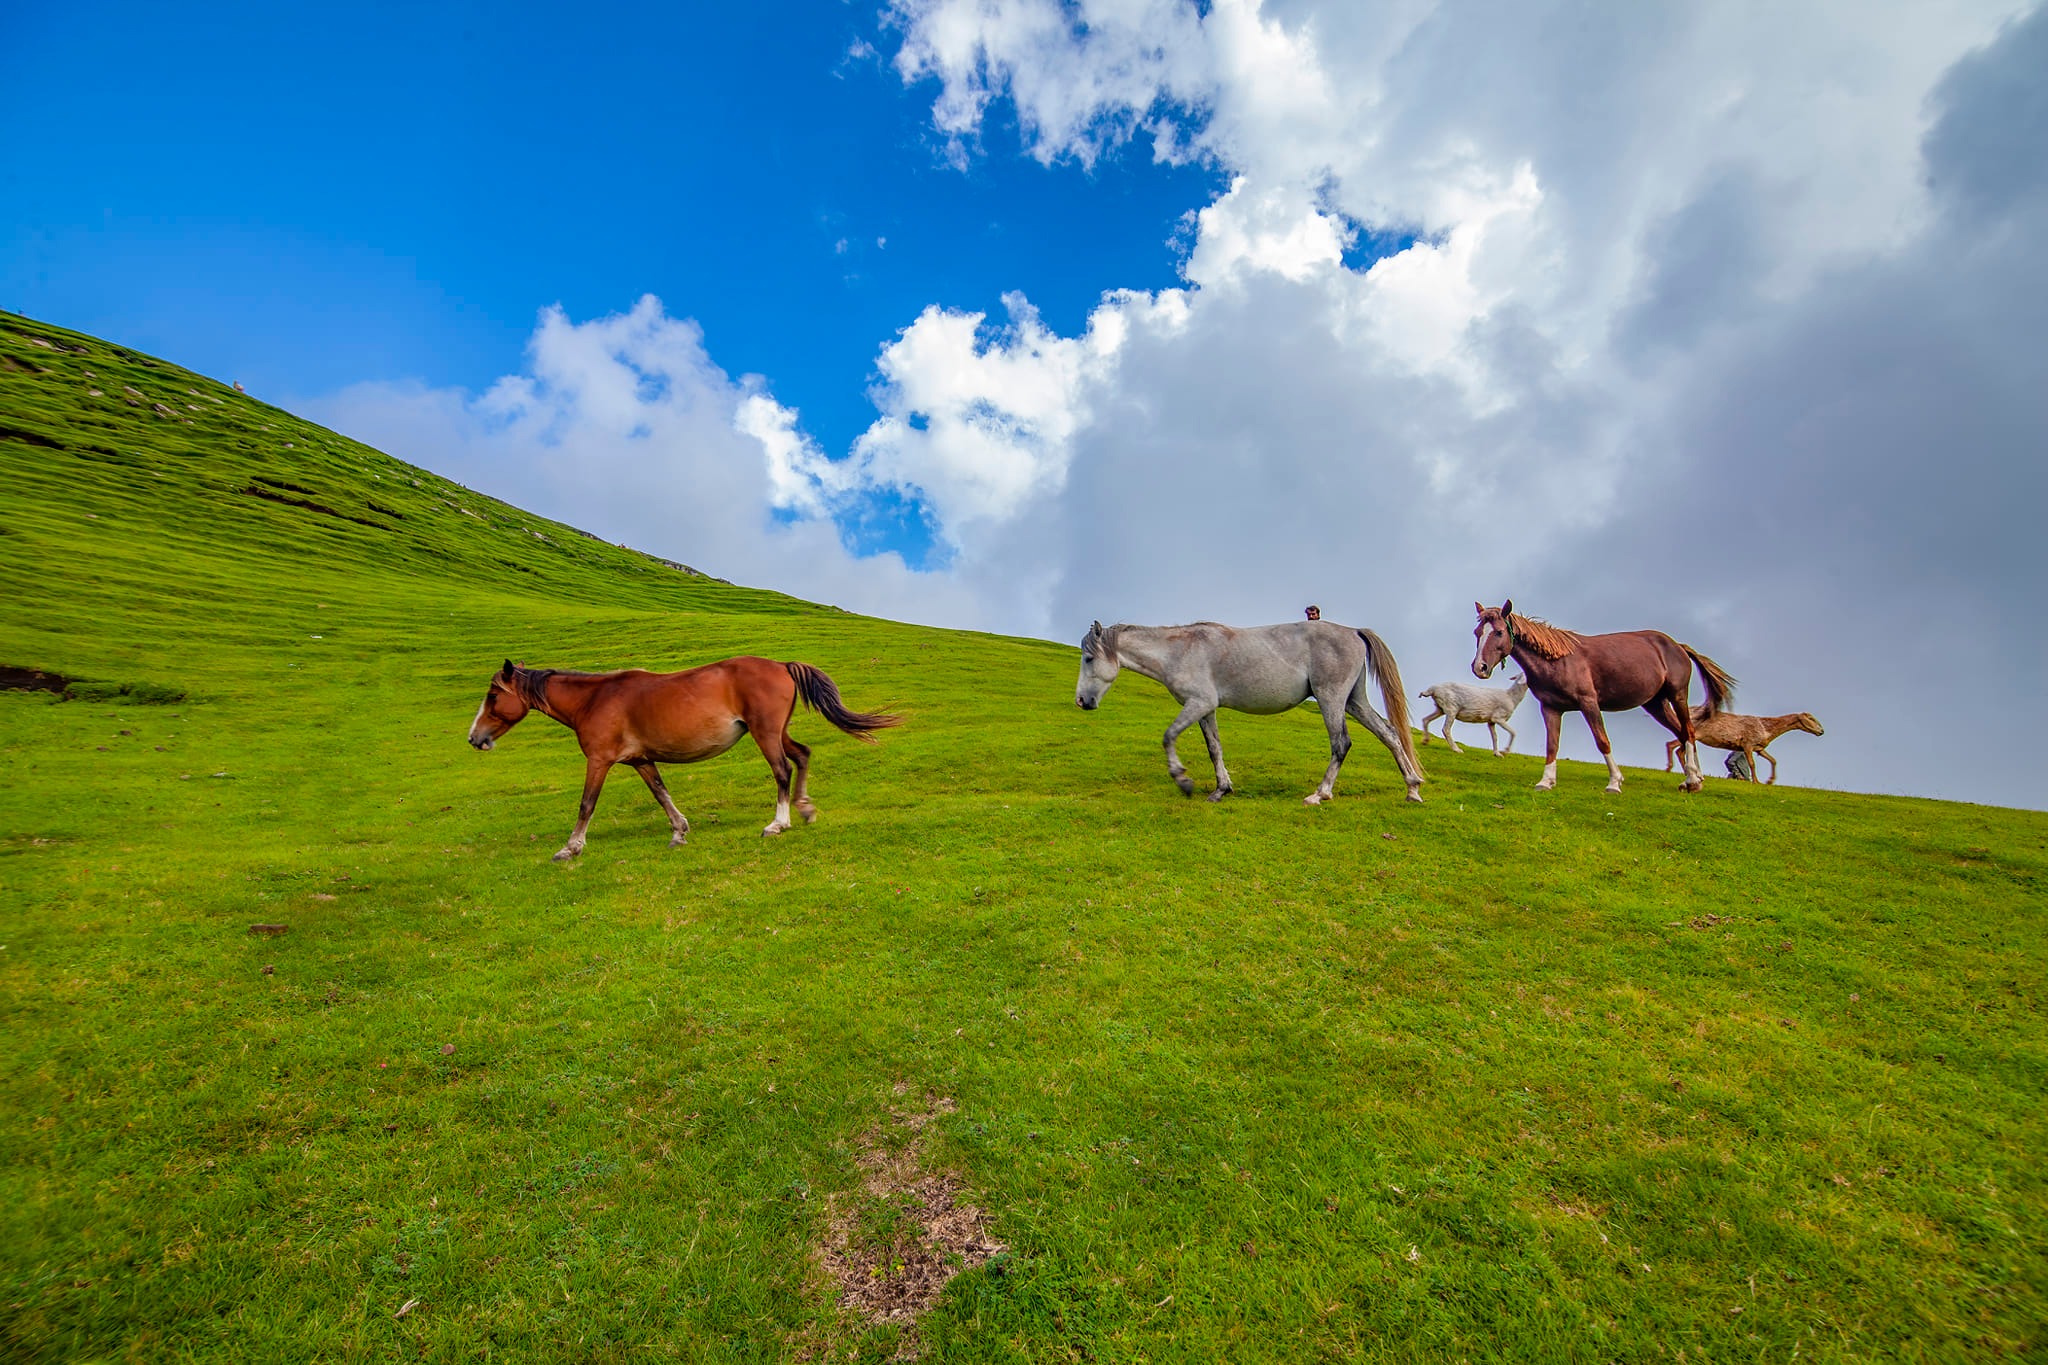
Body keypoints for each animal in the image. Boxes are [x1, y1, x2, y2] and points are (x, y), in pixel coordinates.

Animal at [479, 654, 905, 859]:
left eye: (493, 696)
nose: (475, 737)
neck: (596, 699)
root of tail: (781, 666)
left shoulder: (599, 761)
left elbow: (586, 805)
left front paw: (570, 848)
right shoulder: (641, 760)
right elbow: (661, 794)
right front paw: (679, 832)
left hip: (766, 733)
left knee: (782, 769)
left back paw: (778, 823)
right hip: (778, 732)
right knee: (801, 756)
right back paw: (805, 809)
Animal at [1073, 622, 1425, 806]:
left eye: (1088, 659)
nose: (1081, 701)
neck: (1181, 650)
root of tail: (1352, 631)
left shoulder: (1198, 704)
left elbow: (1169, 736)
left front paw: (1183, 780)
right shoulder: (1206, 709)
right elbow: (1214, 748)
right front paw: (1221, 789)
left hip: (1332, 699)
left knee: (1341, 744)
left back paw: (1319, 794)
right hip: (1354, 701)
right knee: (1390, 735)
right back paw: (1412, 788)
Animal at [1466, 601, 1736, 794]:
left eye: (1499, 632)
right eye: (1477, 632)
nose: (1479, 667)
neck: (1558, 660)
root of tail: (1678, 645)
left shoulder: (1589, 703)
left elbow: (1602, 741)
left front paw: (1614, 782)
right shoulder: (1551, 708)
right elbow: (1552, 744)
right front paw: (1546, 781)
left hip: (1677, 695)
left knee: (1688, 731)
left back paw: (1692, 779)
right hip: (1655, 703)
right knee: (1682, 732)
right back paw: (1694, 778)